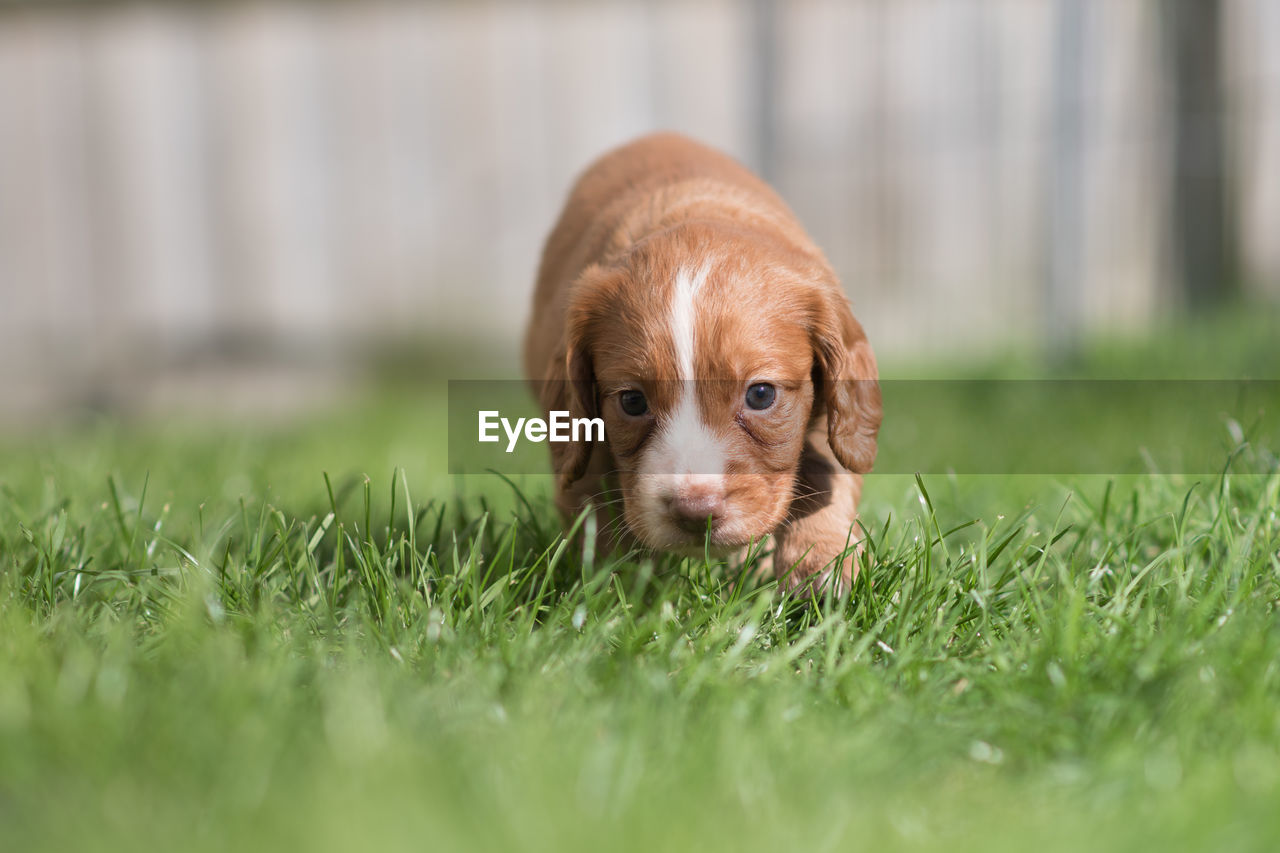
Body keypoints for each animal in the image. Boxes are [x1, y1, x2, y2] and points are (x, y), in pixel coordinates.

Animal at [519, 133, 880, 591]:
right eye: (632, 401)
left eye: (761, 395)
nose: (696, 514)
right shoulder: (580, 433)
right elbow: (593, 511)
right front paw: (616, 590)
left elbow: (827, 470)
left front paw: (824, 568)